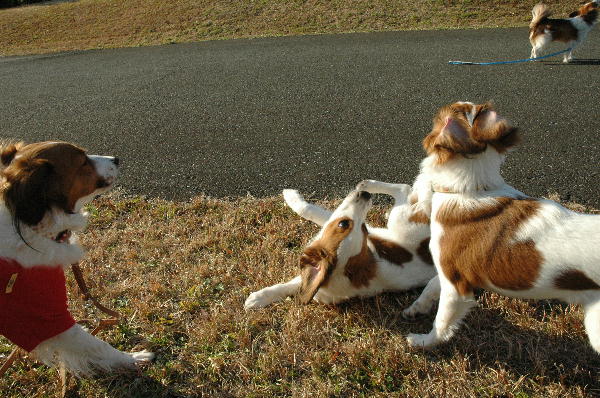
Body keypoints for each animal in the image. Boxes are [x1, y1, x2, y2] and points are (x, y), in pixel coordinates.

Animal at [244, 181, 436, 310]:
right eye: (362, 229)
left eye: (344, 224)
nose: (365, 195)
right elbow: (294, 285)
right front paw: (258, 298)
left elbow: (308, 209)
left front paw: (291, 196)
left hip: (401, 219)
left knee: (405, 188)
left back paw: (368, 184)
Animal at [406, 101, 596, 352]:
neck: (473, 189)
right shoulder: (454, 271)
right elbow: (430, 285)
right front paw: (417, 308)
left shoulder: (456, 288)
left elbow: (442, 323)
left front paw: (423, 342)